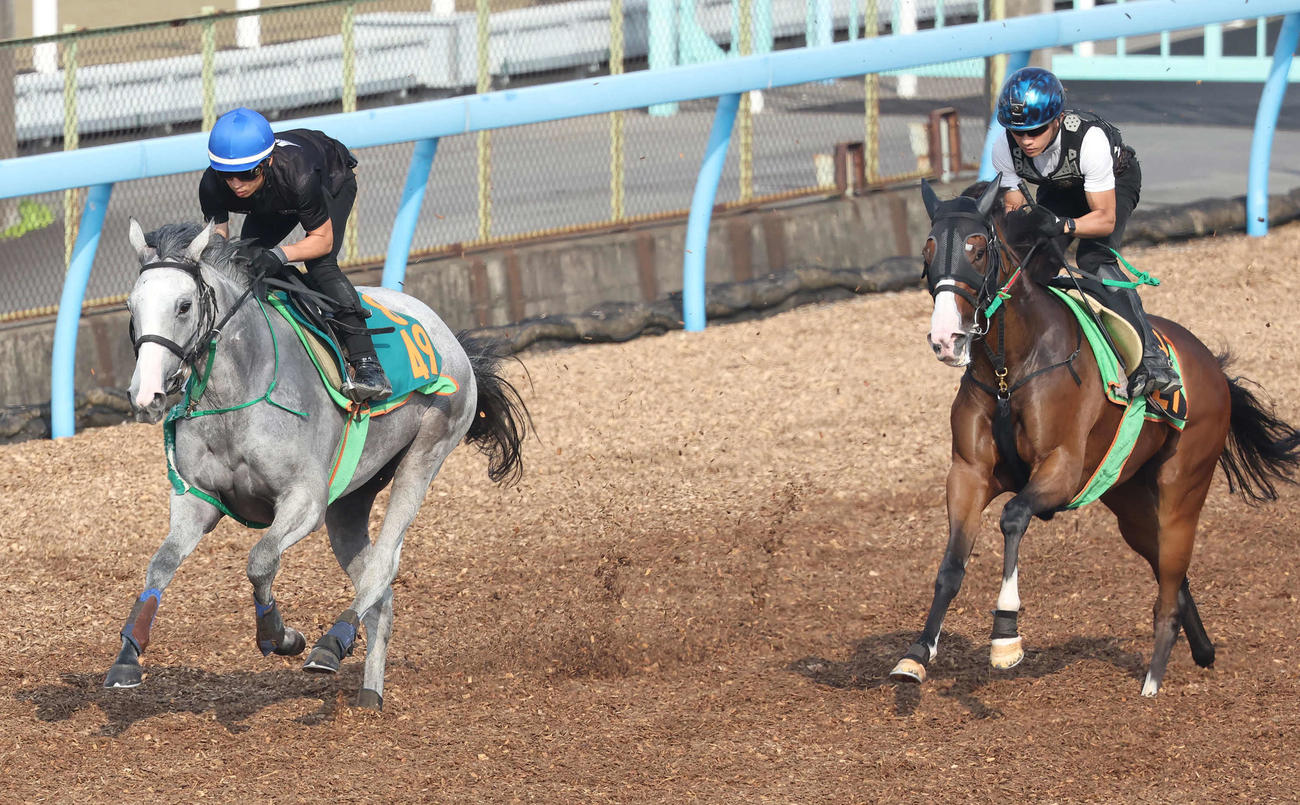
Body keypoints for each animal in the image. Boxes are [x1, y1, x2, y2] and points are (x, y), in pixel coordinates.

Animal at [105, 219, 531, 709]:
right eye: (130, 306)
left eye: (183, 305)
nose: (146, 394)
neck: (237, 393)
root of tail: (446, 335)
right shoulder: (198, 501)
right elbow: (160, 564)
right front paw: (127, 658)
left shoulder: (304, 501)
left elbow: (260, 560)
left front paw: (281, 637)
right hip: (350, 500)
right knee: (379, 592)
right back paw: (368, 693)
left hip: (427, 452)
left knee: (383, 566)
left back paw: (331, 645)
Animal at [890, 177, 1300, 697]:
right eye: (927, 251)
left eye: (977, 249)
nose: (946, 339)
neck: (1009, 369)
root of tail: (1211, 366)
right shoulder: (969, 473)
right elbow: (950, 566)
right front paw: (917, 653)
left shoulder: (1060, 469)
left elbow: (1013, 517)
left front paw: (1005, 635)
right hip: (1128, 500)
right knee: (1172, 574)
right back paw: (1203, 650)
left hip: (1182, 490)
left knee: (1170, 581)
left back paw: (1153, 679)